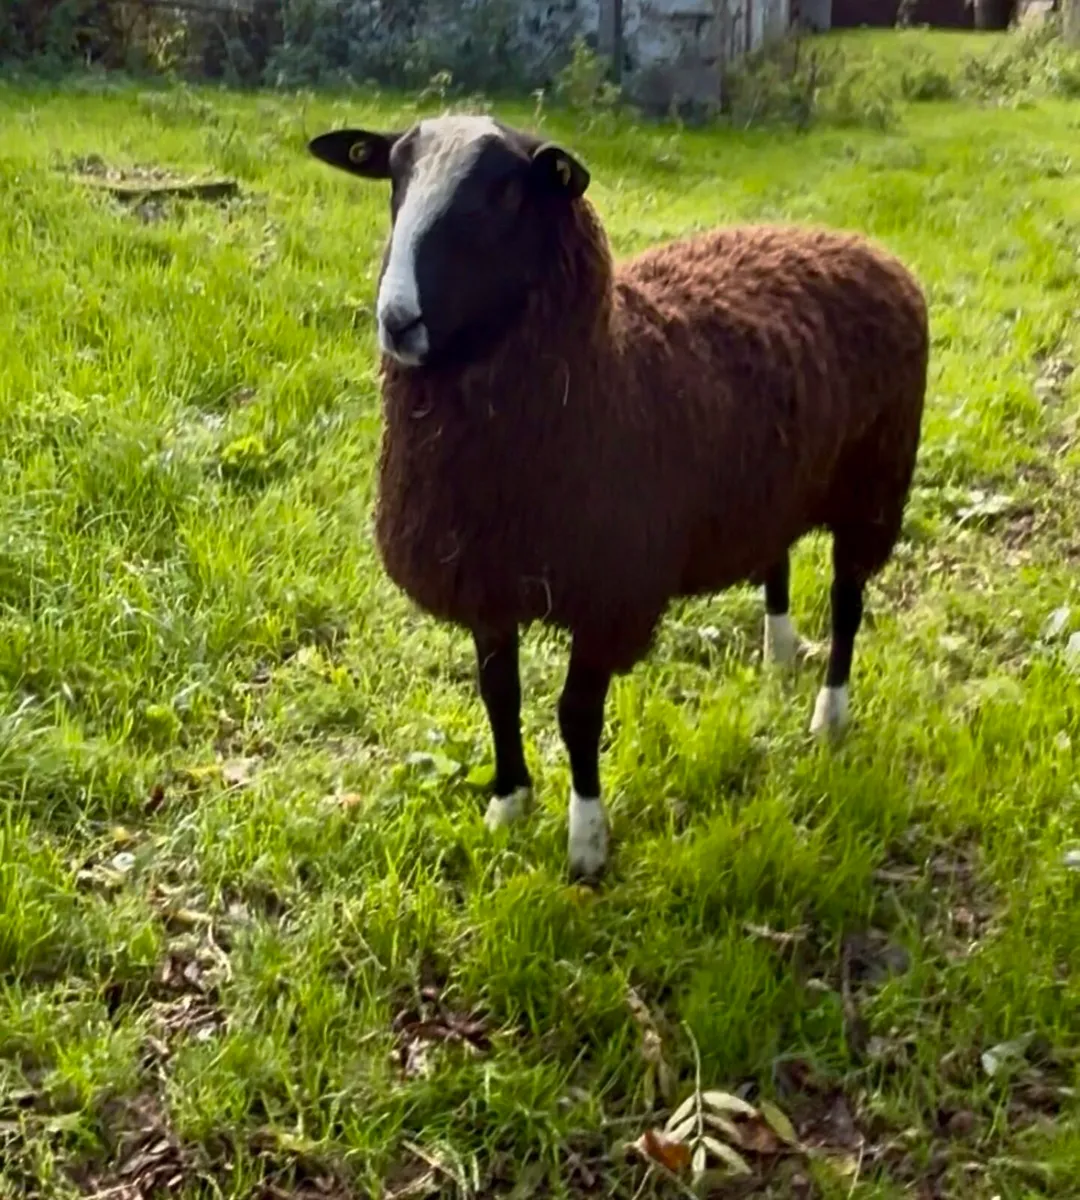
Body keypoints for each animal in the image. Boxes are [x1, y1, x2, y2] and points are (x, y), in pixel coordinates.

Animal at [307, 114, 929, 881]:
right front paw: (509, 803)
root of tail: (862, 245)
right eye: (393, 177)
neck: (608, 366)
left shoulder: (609, 594)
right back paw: (779, 655)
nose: (397, 321)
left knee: (847, 604)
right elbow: (498, 694)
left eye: (506, 193)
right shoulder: (487, 577)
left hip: (874, 487)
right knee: (778, 559)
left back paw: (830, 715)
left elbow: (575, 714)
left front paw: (586, 841)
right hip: (773, 483)